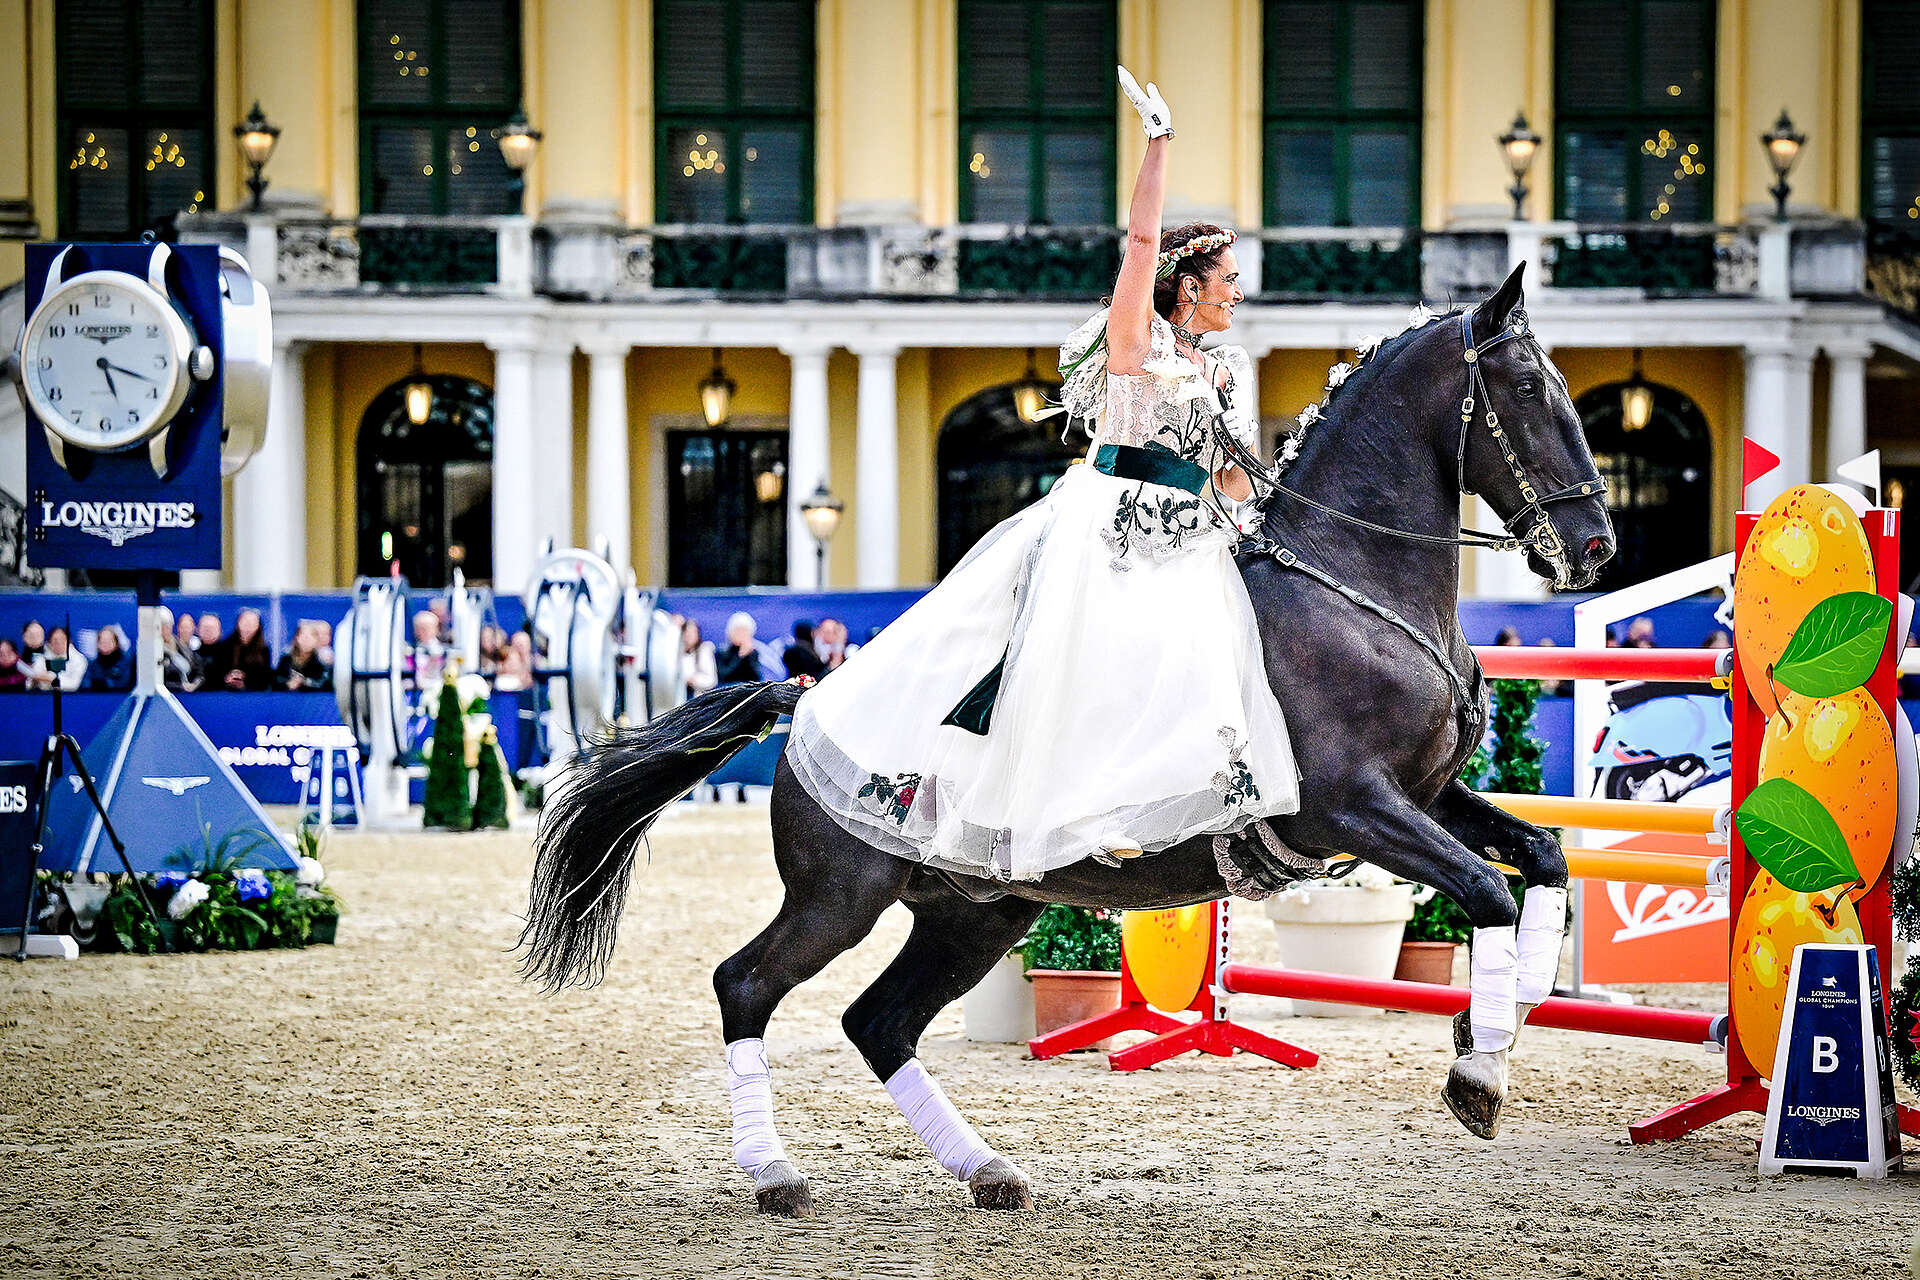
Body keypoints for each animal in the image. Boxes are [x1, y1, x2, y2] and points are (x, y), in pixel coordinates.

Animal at [515, 264, 1616, 1217]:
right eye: (1530, 386)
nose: (1596, 545)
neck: (1353, 586)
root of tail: (807, 697)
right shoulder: (1353, 805)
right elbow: (1485, 890)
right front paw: (1479, 1069)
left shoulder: (1426, 796)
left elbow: (1543, 860)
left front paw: (1499, 1019)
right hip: (841, 896)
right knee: (747, 984)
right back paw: (776, 1170)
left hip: (975, 912)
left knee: (879, 1021)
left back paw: (986, 1168)